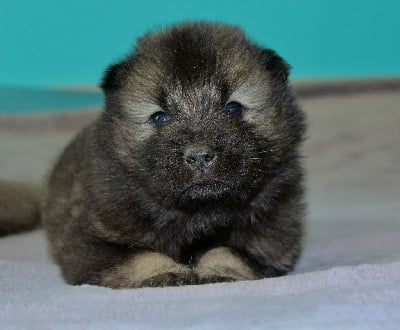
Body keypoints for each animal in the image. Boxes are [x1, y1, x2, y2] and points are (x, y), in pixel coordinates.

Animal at [0, 21, 308, 288]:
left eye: (233, 108)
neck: (197, 212)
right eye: (160, 117)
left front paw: (219, 272)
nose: (199, 156)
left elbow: (228, 250)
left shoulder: (273, 237)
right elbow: (138, 255)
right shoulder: (88, 241)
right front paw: (166, 273)